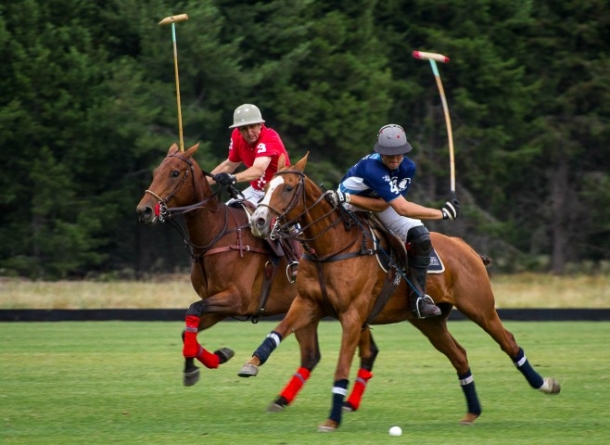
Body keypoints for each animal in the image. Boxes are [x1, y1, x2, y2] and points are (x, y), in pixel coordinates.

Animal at [137, 143, 300, 386]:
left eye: (175, 173)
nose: (144, 210)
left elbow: (192, 309)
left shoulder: (237, 298)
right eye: (156, 172)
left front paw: (199, 365)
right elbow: (188, 330)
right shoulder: (219, 303)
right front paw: (215, 358)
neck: (216, 235)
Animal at [236, 154, 556, 432]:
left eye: (288, 188)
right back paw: (472, 412)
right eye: (267, 186)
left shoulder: (352, 316)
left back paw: (545, 384)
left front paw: (332, 419)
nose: (259, 221)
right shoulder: (306, 303)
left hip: (480, 307)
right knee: (459, 354)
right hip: (430, 322)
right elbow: (278, 330)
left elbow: (341, 367)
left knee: (508, 342)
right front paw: (251, 364)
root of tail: (466, 247)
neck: (330, 247)